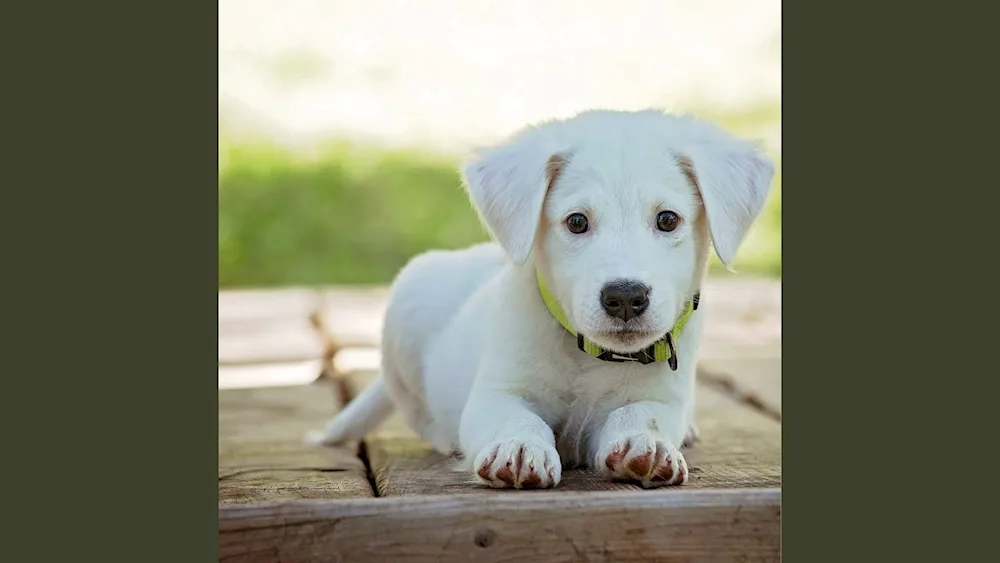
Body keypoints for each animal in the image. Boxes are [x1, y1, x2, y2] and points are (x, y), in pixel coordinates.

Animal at [312, 109, 772, 490]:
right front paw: (518, 448)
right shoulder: (496, 393)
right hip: (408, 305)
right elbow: (517, 417)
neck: (588, 356)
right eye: (577, 222)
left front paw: (646, 444)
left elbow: (641, 414)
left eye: (667, 219)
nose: (625, 297)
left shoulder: (661, 398)